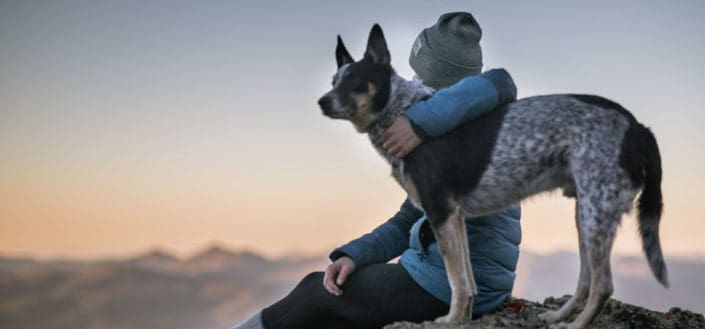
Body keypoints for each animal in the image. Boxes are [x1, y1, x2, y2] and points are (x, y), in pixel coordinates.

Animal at [318, 23, 664, 328]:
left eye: (355, 80)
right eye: (334, 80)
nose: (321, 101)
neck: (401, 111)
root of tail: (638, 128)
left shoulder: (440, 211)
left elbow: (455, 279)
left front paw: (448, 321)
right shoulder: (455, 217)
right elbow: (467, 281)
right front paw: (462, 318)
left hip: (596, 213)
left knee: (603, 285)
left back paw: (574, 325)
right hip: (587, 214)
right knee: (585, 280)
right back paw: (557, 316)